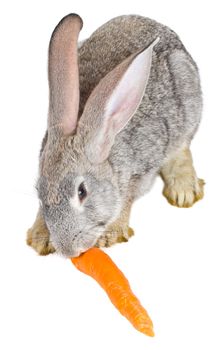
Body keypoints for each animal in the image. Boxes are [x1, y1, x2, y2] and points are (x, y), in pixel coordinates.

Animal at [26, 13, 204, 258]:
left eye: (82, 192)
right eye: (40, 192)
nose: (70, 251)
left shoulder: (138, 171)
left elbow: (126, 200)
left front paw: (111, 233)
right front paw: (40, 236)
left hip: (187, 101)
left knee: (181, 148)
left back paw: (183, 191)